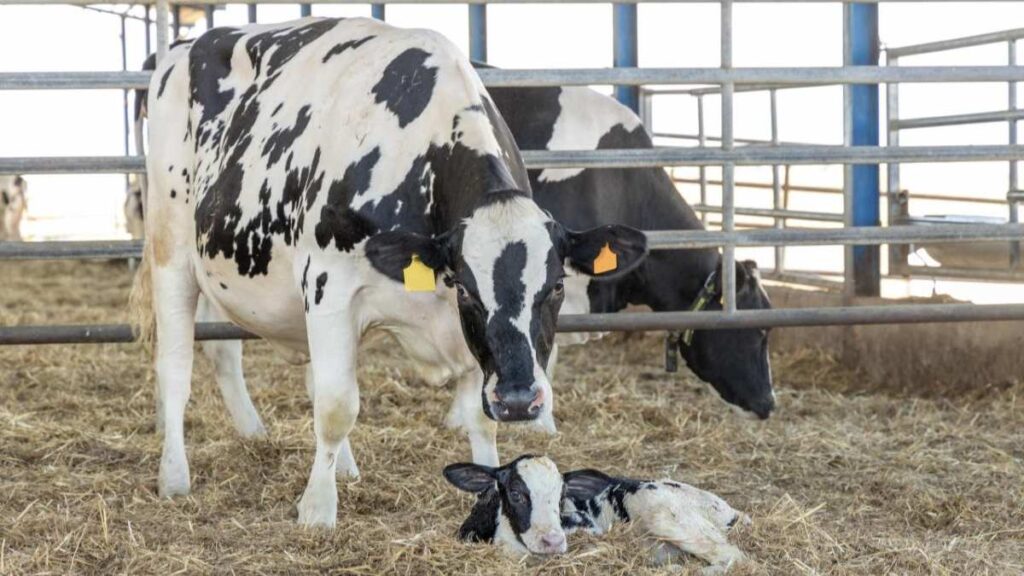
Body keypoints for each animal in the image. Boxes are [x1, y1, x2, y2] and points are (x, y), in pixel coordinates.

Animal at [139, 16, 643, 524]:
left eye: (557, 286)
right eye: (467, 290)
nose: (520, 400)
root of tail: (185, 46)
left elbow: (478, 418)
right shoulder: (329, 286)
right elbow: (337, 407)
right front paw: (317, 509)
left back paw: (331, 463)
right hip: (171, 249)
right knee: (176, 368)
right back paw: (174, 475)